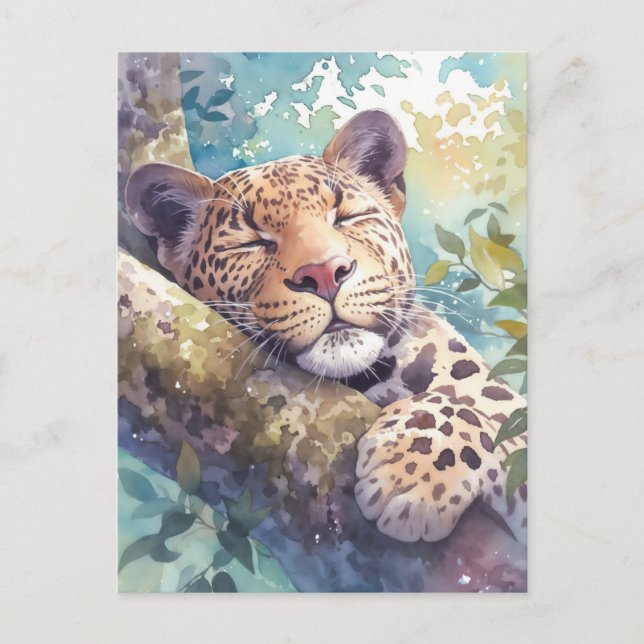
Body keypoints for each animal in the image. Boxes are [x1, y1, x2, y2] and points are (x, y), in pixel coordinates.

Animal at [125, 109, 527, 545]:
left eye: (347, 217)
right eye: (251, 242)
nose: (325, 273)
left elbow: (481, 408)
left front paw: (415, 474)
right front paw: (414, 473)